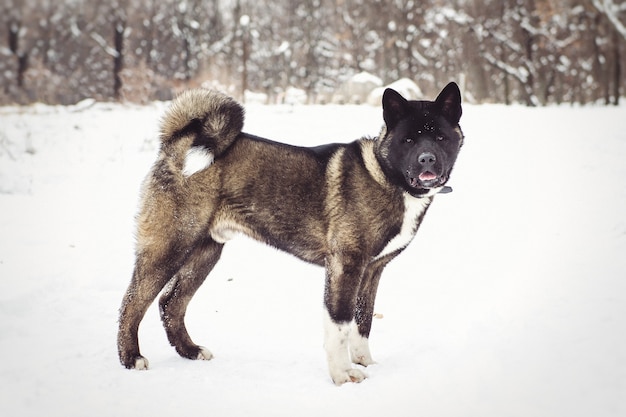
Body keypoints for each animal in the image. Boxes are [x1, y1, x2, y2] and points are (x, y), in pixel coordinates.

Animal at [117, 81, 460, 384]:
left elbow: (362, 322)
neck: (386, 175)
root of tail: (176, 144)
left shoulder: (372, 270)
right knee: (132, 303)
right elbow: (339, 324)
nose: (427, 159)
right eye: (408, 140)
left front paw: (364, 362)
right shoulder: (345, 265)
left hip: (205, 252)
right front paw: (342, 375)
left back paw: (190, 351)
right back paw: (130, 358)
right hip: (169, 247)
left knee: (170, 304)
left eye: (440, 137)